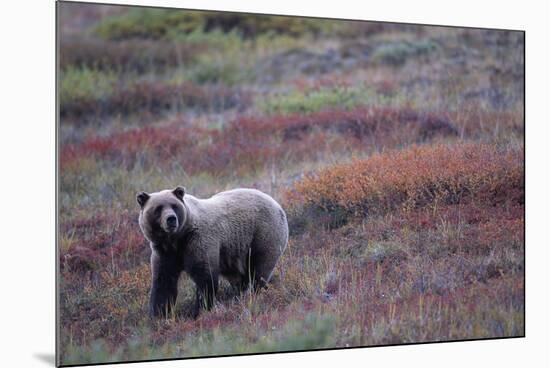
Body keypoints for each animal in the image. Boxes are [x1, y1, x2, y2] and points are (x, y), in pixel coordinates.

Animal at [137, 187, 288, 316]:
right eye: (158, 208)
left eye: (174, 206)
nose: (171, 219)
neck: (177, 239)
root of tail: (276, 203)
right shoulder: (164, 252)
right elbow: (163, 282)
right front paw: (159, 315)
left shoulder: (198, 241)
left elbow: (205, 278)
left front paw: (200, 310)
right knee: (240, 278)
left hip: (262, 234)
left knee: (259, 269)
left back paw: (255, 293)